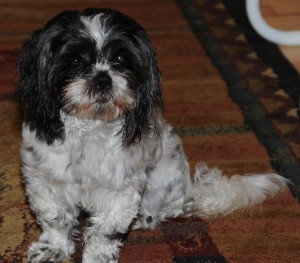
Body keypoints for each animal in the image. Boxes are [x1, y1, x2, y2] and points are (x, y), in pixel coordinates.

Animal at [18, 8, 288, 263]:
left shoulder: (122, 190)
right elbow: (56, 220)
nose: (103, 79)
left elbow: (105, 231)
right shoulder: (44, 181)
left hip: (162, 180)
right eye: (74, 60)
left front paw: (98, 256)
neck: (91, 126)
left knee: (168, 208)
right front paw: (53, 248)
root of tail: (190, 191)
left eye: (120, 58)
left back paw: (145, 217)